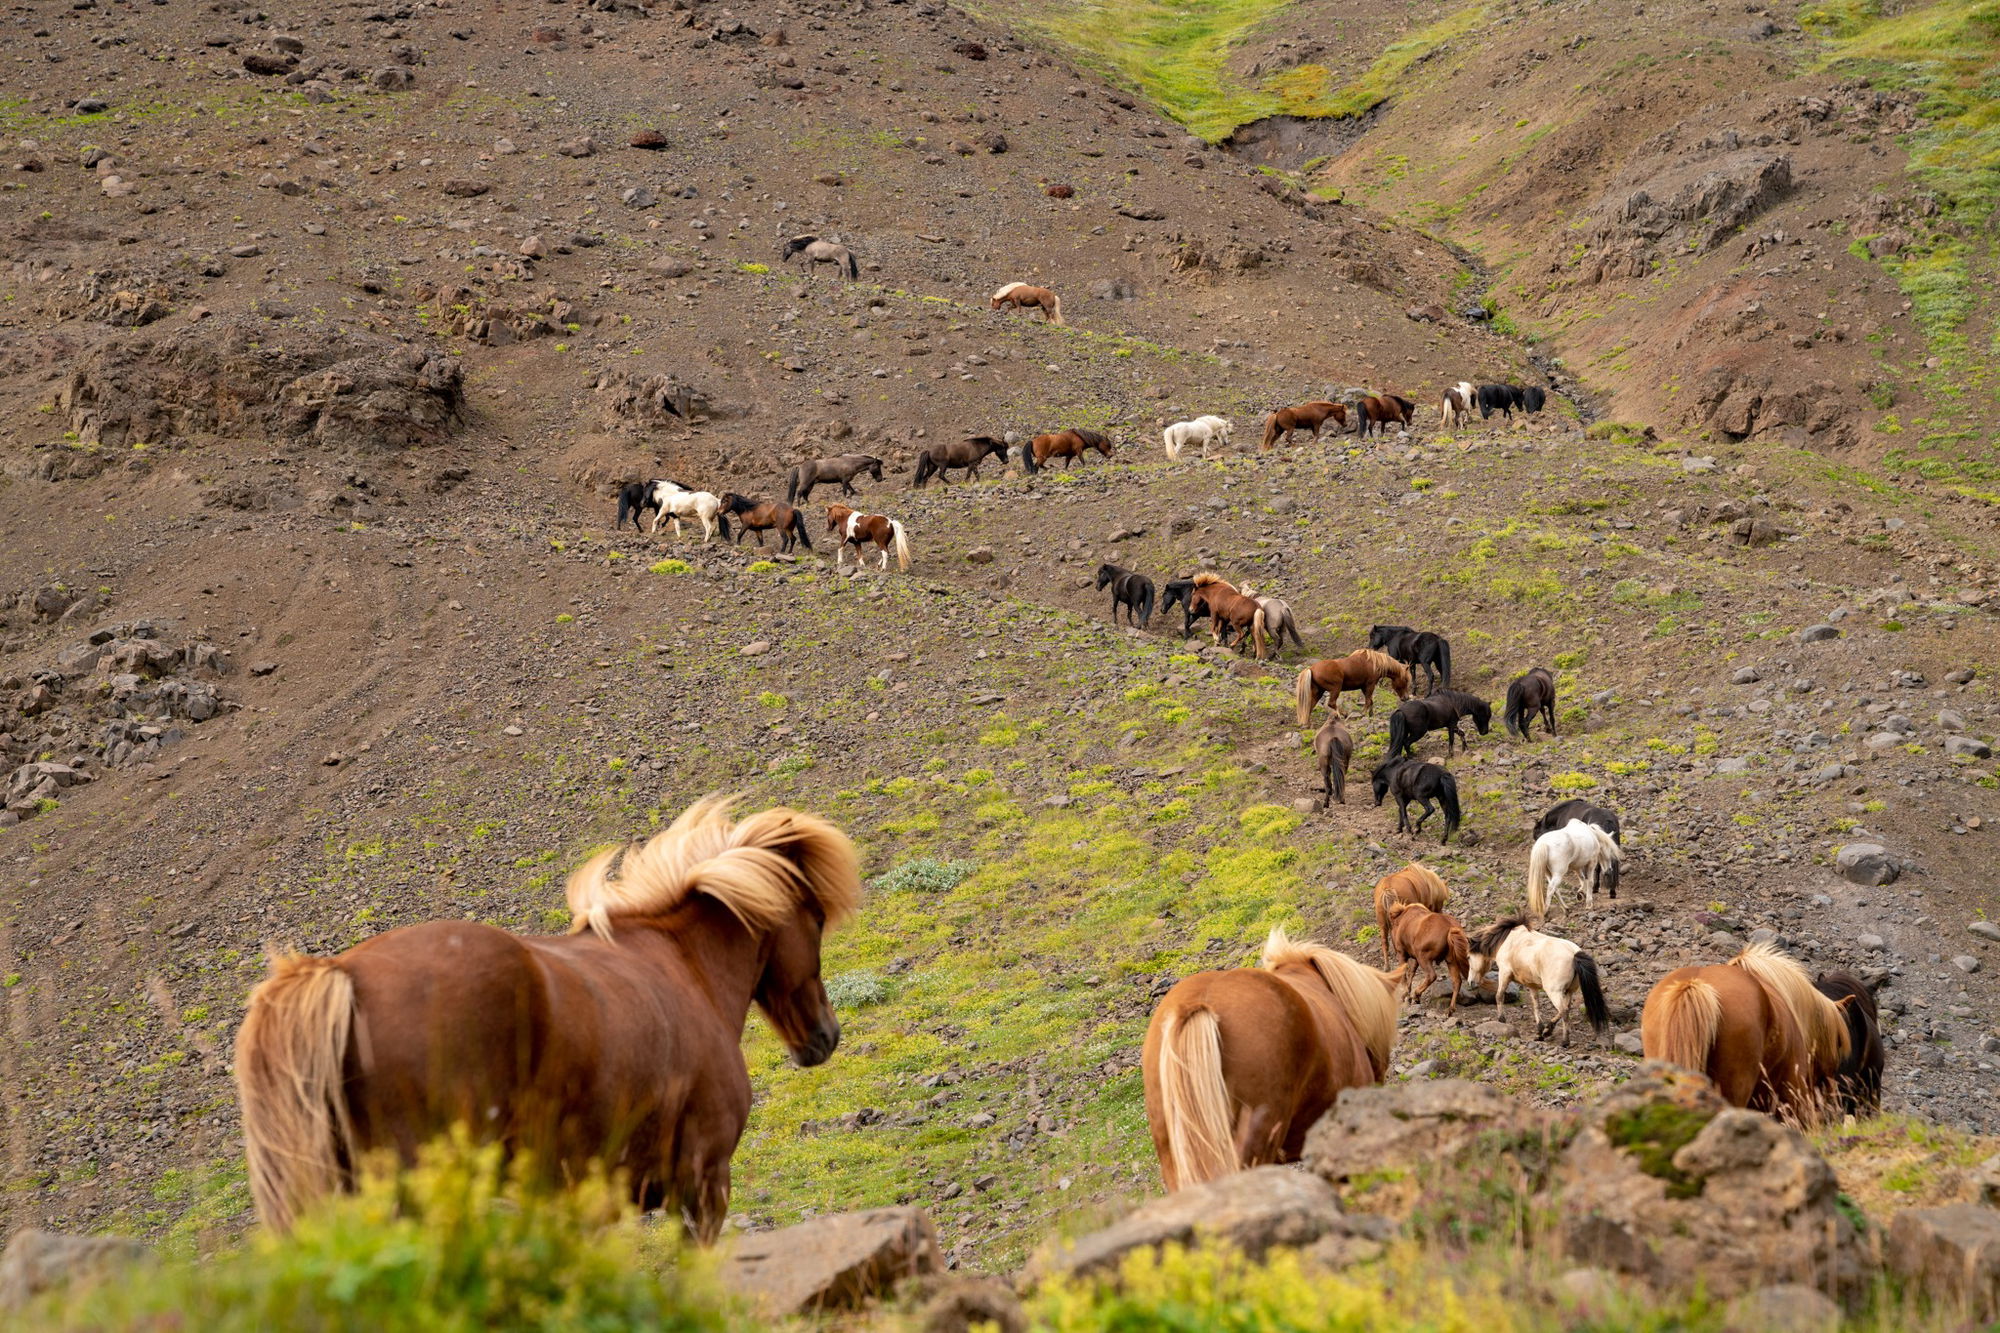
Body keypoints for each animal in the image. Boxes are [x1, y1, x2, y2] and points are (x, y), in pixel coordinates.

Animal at [1466, 917, 1610, 1046]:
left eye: (1468, 957)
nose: (1470, 982)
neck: (1507, 941)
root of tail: (1574, 954)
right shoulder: (1532, 985)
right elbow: (1536, 1005)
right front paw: (1540, 1032)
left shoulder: (1504, 973)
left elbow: (1499, 996)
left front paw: (1501, 1020)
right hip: (1569, 991)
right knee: (1566, 1008)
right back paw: (1548, 1030)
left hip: (1554, 992)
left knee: (1564, 1011)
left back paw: (1564, 1041)